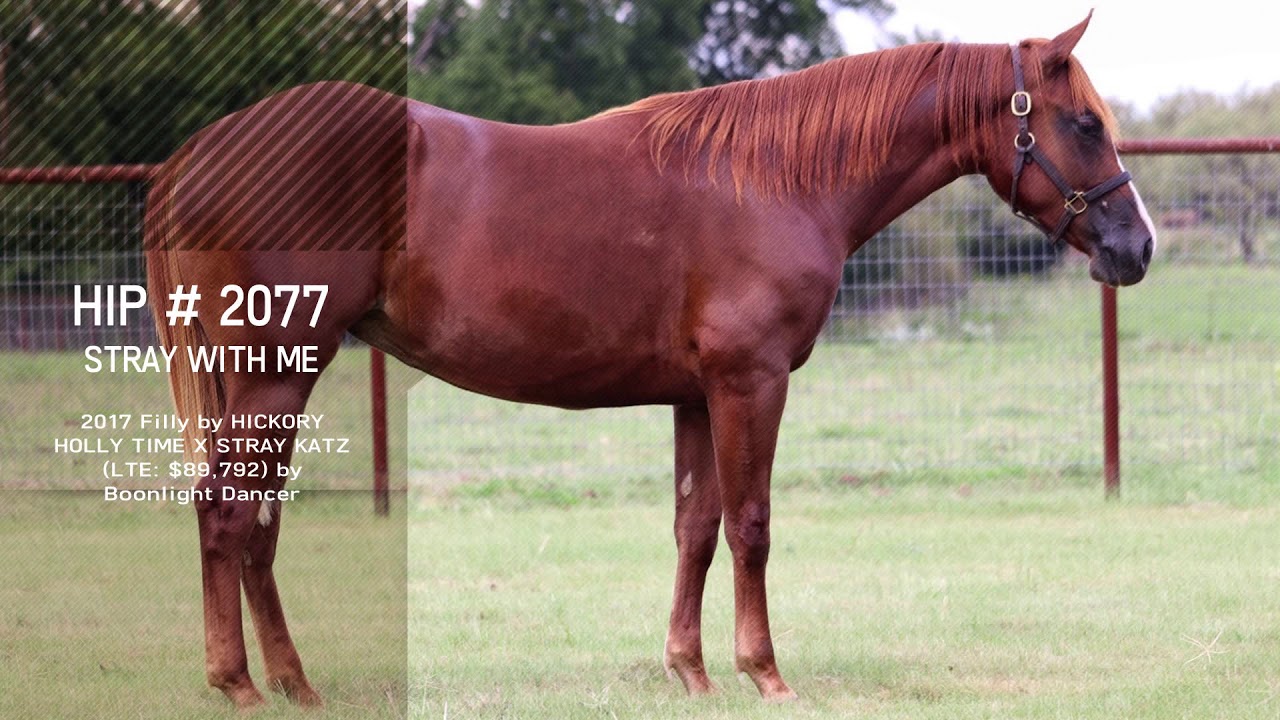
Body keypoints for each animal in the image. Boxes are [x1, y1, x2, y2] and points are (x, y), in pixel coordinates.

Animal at [145, 12, 1154, 708]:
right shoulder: (751, 383)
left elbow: (694, 527)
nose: (1135, 248)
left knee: (255, 524)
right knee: (231, 513)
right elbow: (751, 525)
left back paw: (292, 685)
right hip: (276, 371)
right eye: (1085, 124)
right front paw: (765, 674)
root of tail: (199, 154)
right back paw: (241, 685)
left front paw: (690, 672)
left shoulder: (696, 398)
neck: (776, 178)